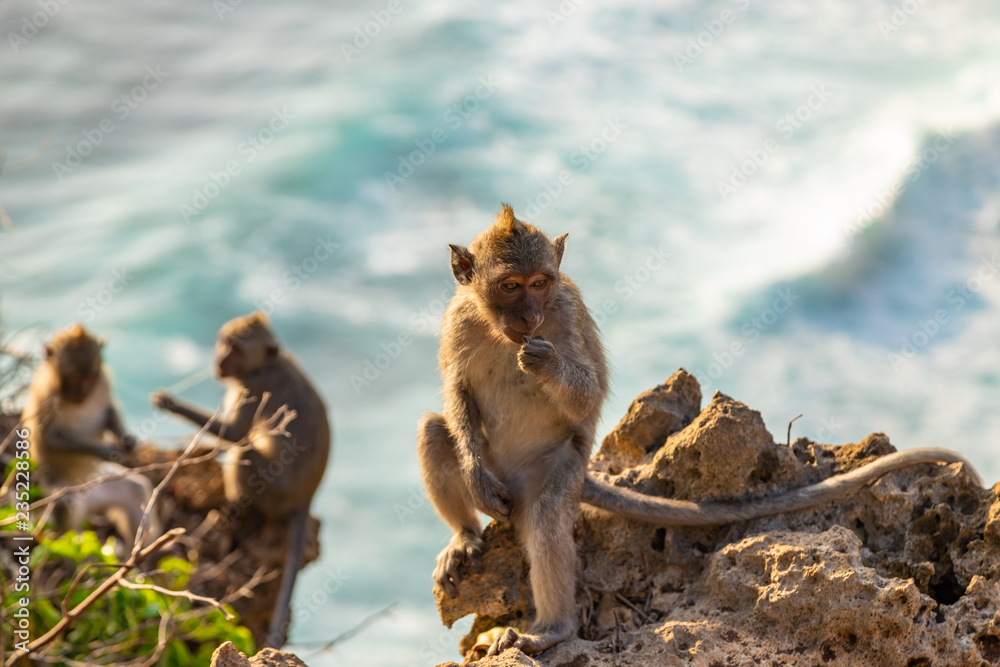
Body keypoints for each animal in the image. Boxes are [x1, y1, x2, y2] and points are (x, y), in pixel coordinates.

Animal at [23, 324, 161, 555]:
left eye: (89, 378)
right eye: (75, 380)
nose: (84, 392)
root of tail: (89, 501)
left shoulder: (103, 381)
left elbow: (108, 411)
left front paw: (127, 440)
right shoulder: (46, 396)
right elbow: (52, 438)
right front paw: (105, 451)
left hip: (101, 485)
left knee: (136, 489)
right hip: (61, 490)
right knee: (66, 509)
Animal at [151, 312, 330, 649]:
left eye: (236, 349)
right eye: (225, 343)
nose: (219, 360)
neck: (267, 365)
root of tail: (307, 496)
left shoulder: (252, 387)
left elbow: (235, 434)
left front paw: (169, 402)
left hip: (275, 491)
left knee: (242, 454)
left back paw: (232, 507)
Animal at [416, 204, 983, 657]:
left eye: (541, 283)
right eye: (510, 286)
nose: (531, 316)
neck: (501, 329)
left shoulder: (566, 311)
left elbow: (588, 394)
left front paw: (545, 364)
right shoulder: (458, 318)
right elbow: (457, 392)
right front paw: (472, 478)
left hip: (563, 463)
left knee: (549, 512)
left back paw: (553, 629)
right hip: (503, 472)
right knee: (435, 432)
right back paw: (466, 535)